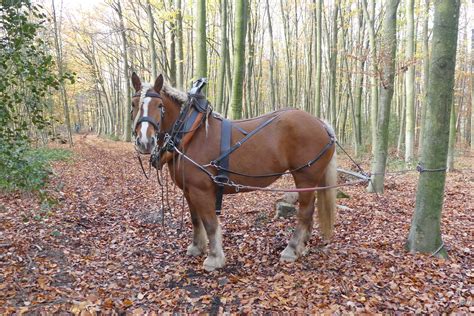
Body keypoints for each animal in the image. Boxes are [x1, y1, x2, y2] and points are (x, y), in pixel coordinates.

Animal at [130, 72, 336, 272]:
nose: (145, 142)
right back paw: (302, 246)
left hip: (305, 177)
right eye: (133, 104)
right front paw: (196, 247)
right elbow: (196, 220)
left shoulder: (201, 190)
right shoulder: (189, 191)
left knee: (305, 212)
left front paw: (214, 258)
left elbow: (210, 224)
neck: (190, 133)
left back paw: (292, 249)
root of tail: (321, 123)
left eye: (160, 106)